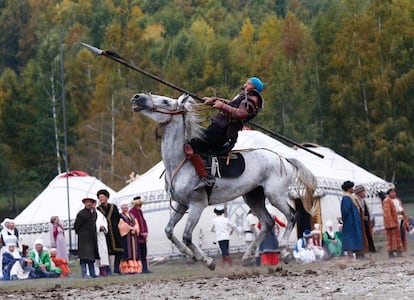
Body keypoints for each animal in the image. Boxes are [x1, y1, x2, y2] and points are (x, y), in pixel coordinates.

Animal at [131, 92, 316, 270]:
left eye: (165, 102)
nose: (137, 97)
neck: (180, 162)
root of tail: (283, 158)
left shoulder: (197, 205)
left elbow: (187, 236)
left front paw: (207, 261)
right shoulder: (181, 204)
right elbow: (169, 231)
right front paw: (190, 254)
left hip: (275, 195)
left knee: (291, 216)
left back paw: (284, 252)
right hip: (253, 197)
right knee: (268, 222)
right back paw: (247, 255)